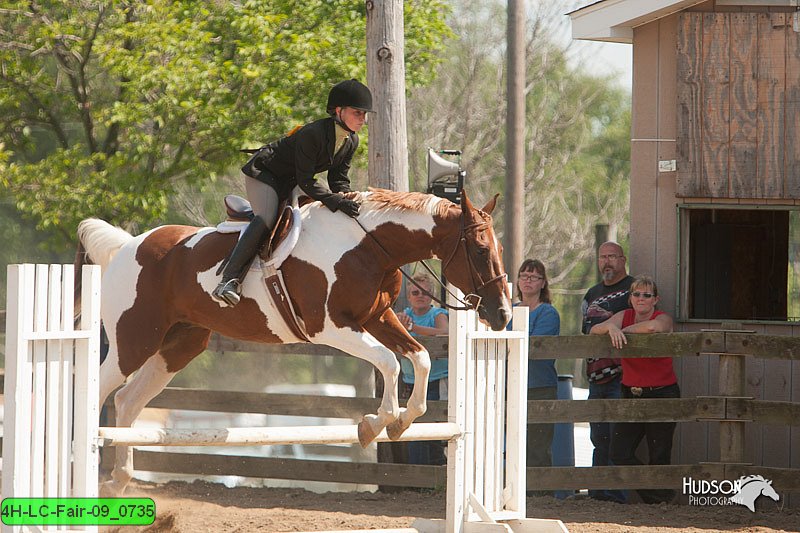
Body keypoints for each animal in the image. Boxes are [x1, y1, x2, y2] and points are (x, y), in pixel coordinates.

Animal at [75, 188, 512, 494]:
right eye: (479, 250)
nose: (503, 315)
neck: (368, 245)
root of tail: (128, 246)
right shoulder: (330, 327)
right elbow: (389, 361)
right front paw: (374, 423)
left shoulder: (378, 317)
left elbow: (419, 357)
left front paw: (402, 421)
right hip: (133, 340)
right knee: (100, 393)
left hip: (177, 346)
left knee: (127, 401)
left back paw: (118, 480)